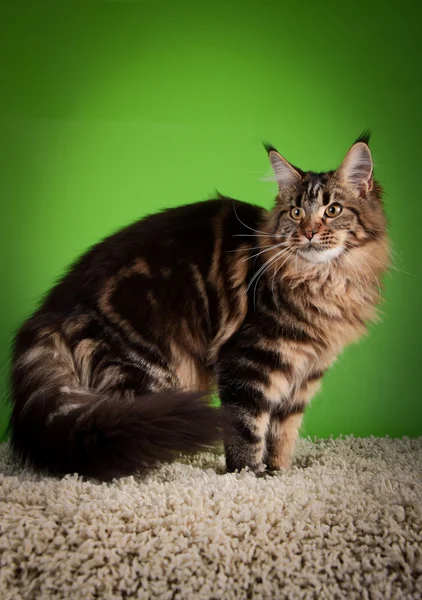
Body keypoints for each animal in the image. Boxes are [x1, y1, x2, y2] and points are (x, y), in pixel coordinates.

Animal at [8, 134, 390, 480]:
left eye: (332, 210)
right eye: (296, 213)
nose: (308, 232)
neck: (323, 281)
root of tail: (52, 307)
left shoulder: (307, 372)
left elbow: (283, 434)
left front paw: (279, 473)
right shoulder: (247, 361)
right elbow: (246, 430)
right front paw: (249, 476)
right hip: (145, 371)